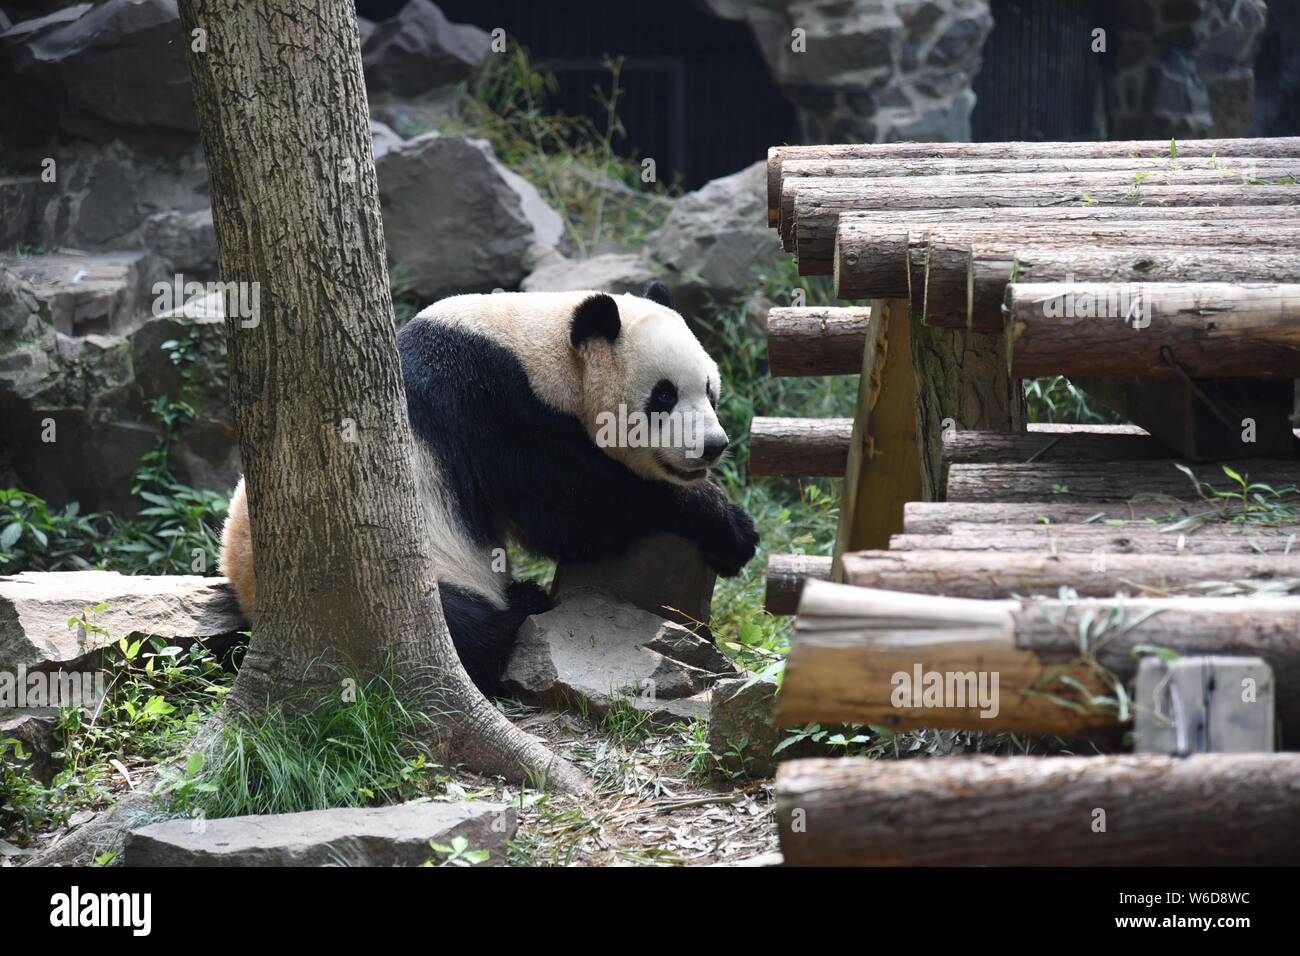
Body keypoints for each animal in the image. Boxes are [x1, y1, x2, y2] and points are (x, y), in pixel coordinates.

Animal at [219, 282, 758, 694]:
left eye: (709, 390)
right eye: (663, 396)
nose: (713, 446)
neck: (535, 347)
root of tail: (250, 595)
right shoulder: (492, 407)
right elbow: (574, 509)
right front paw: (728, 526)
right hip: (375, 581)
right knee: (462, 628)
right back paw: (520, 611)